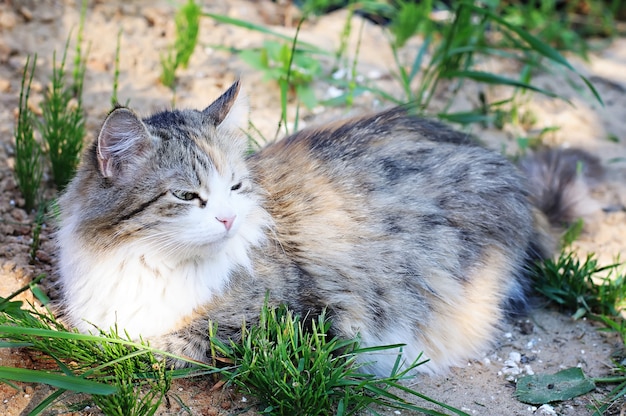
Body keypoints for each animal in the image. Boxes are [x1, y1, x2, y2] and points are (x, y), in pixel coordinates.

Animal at [57, 79, 600, 376]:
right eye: (187, 196)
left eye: (235, 187)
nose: (229, 218)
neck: (148, 264)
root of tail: (499, 161)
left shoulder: (299, 319)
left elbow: (172, 343)